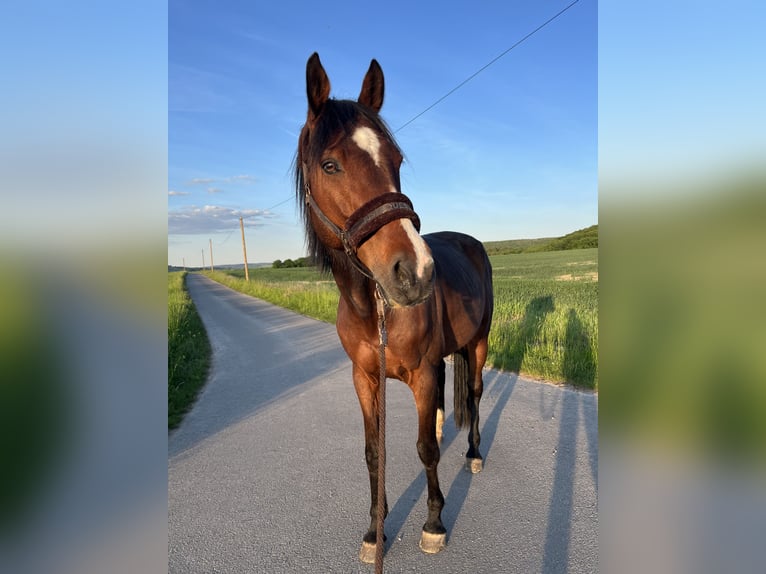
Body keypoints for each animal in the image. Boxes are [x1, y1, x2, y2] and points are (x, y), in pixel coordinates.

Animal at [295, 52, 494, 563]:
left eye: (397, 160)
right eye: (330, 164)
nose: (416, 272)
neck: (374, 311)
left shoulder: (422, 373)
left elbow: (425, 450)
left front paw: (434, 523)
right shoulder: (364, 378)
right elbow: (374, 452)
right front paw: (375, 531)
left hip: (478, 344)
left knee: (475, 395)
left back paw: (474, 453)